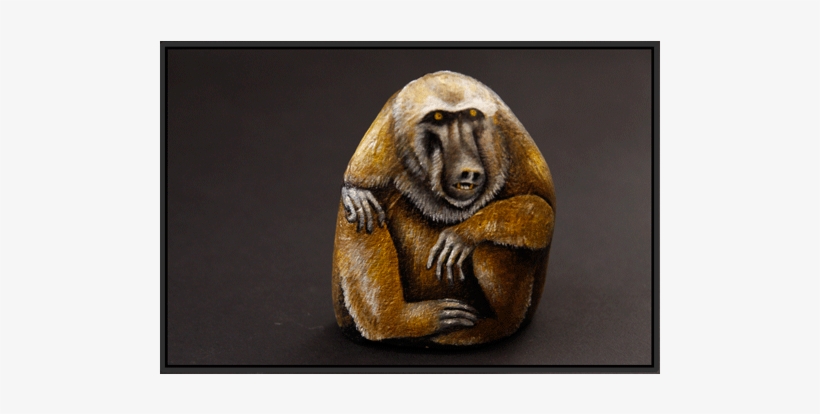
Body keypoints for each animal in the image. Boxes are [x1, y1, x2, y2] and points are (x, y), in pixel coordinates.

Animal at [332, 71, 555, 346]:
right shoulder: (385, 133)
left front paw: (465, 233)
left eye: (471, 115)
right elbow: (358, 192)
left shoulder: (510, 135)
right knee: (360, 212)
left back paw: (498, 324)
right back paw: (391, 323)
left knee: (489, 245)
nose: (467, 170)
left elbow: (544, 213)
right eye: (438, 118)